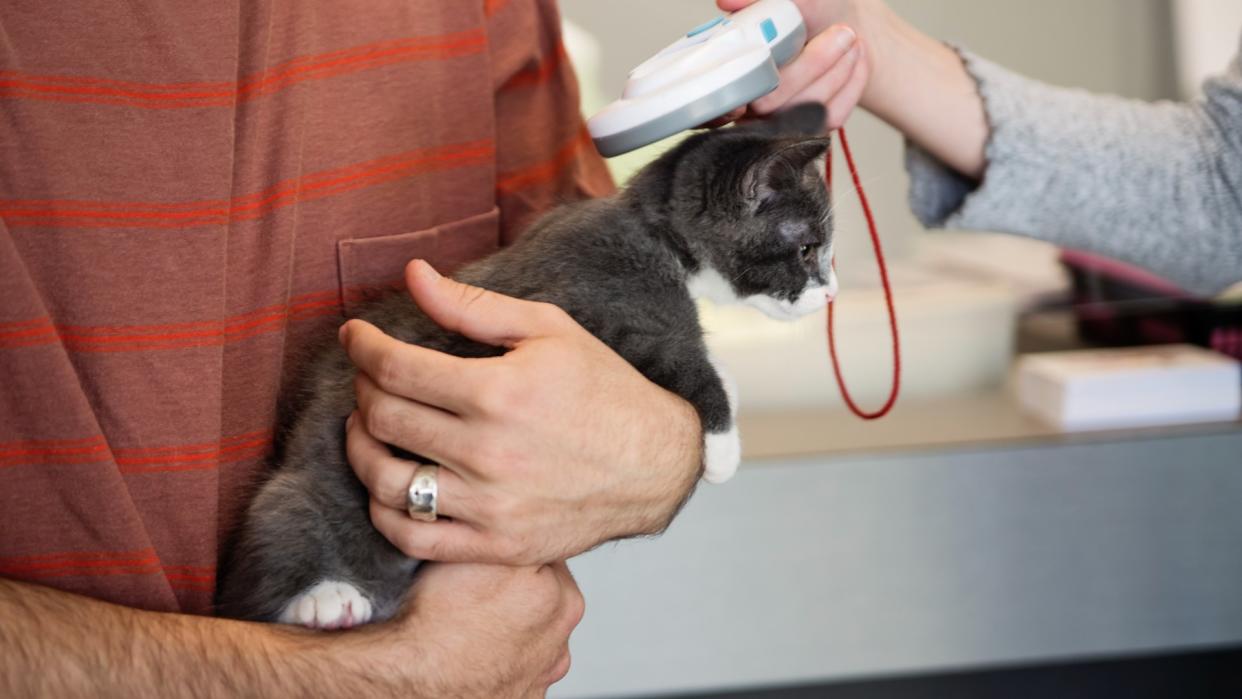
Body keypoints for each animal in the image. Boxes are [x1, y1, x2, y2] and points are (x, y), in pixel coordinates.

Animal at [213, 102, 839, 628]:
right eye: (807, 250)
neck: (656, 238)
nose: (831, 292)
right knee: (266, 564)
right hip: (295, 495)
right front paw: (724, 447)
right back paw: (322, 600)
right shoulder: (602, 311)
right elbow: (683, 361)